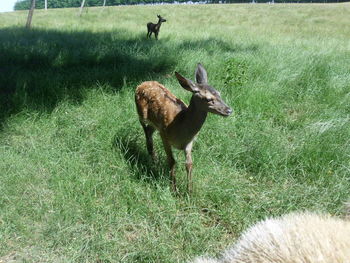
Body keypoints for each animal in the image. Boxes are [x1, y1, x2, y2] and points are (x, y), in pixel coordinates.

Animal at [135, 64, 232, 194]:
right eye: (208, 99)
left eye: (219, 93)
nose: (229, 110)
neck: (180, 126)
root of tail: (143, 83)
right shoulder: (164, 134)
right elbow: (172, 161)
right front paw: (174, 189)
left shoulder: (190, 141)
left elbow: (189, 164)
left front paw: (189, 191)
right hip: (141, 114)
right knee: (146, 133)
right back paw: (152, 158)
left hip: (154, 124)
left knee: (149, 131)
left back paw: (155, 160)